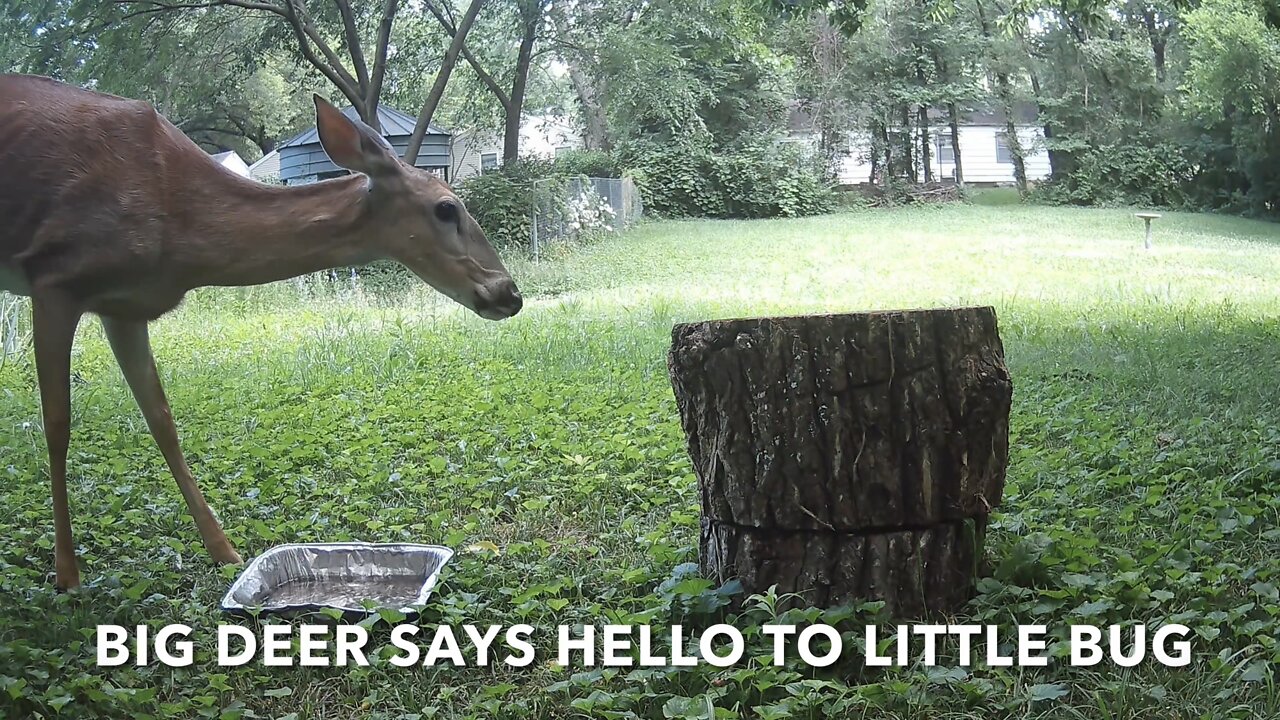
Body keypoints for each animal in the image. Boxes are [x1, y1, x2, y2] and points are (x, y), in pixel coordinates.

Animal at [1, 74, 524, 589]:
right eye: (446, 209)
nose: (510, 292)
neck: (178, 222)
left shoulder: (126, 307)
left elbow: (162, 420)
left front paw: (224, 551)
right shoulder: (55, 278)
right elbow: (57, 424)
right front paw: (67, 574)